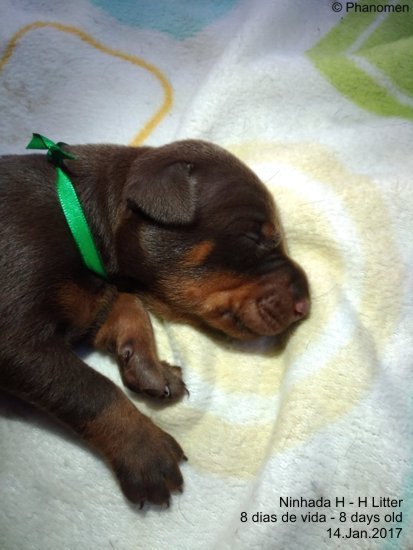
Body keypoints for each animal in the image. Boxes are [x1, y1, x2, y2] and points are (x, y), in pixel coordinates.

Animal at [0, 139, 309, 506]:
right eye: (254, 238)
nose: (306, 304)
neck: (79, 219)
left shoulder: (93, 300)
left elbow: (130, 306)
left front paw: (149, 368)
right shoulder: (16, 339)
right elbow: (89, 388)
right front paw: (145, 451)